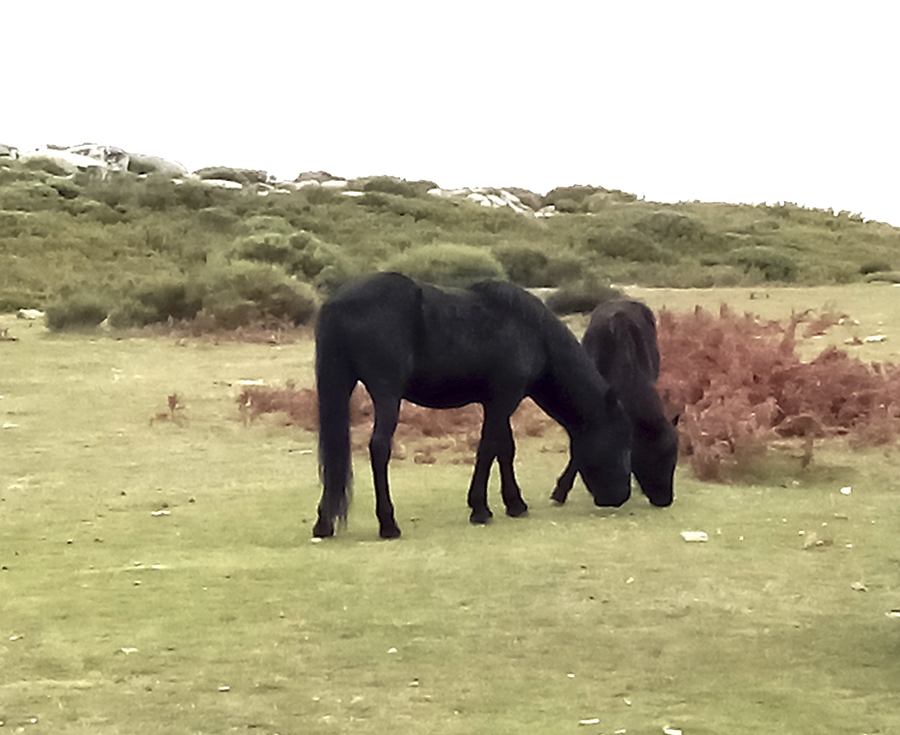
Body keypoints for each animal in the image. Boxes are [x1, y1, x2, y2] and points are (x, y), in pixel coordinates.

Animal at [312, 274, 636, 536]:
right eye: (622, 440)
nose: (620, 496)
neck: (530, 330)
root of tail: (336, 303)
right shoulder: (505, 398)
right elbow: (488, 448)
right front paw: (480, 509)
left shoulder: (498, 401)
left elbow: (505, 449)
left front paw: (514, 504)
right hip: (386, 394)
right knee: (379, 448)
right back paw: (389, 524)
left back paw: (324, 523)